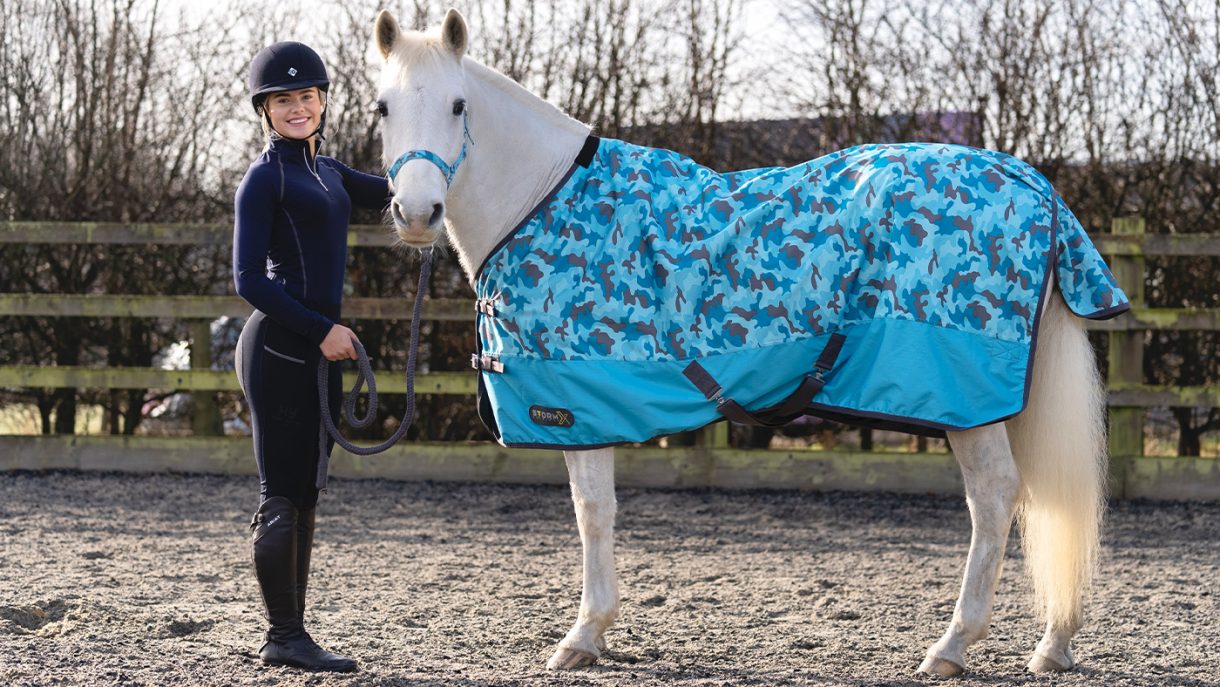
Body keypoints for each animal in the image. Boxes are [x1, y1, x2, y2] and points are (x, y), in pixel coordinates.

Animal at [371, 8, 1122, 677]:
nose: (417, 213)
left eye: (459, 105)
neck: (543, 199)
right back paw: (1053, 643)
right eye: (381, 107)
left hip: (967, 402)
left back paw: (952, 645)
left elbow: (593, 514)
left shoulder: (576, 410)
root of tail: (1031, 183)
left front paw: (584, 635)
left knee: (996, 497)